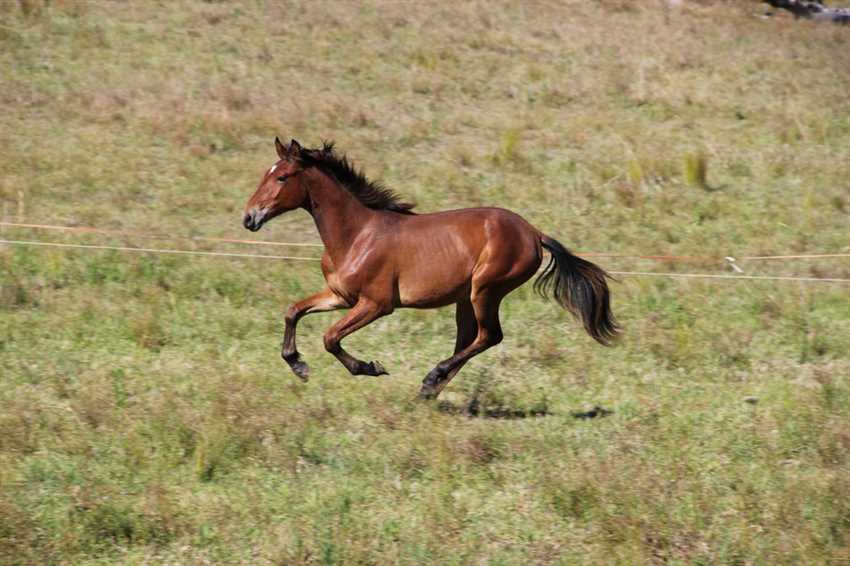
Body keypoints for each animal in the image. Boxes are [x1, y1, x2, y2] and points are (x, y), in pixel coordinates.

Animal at [240, 139, 616, 400]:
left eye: (283, 177)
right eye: (264, 175)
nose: (249, 218)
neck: (356, 235)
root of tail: (534, 233)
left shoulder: (376, 304)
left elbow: (330, 337)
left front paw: (370, 368)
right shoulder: (340, 296)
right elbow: (293, 311)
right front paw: (298, 365)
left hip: (486, 290)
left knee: (489, 336)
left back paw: (432, 378)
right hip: (466, 299)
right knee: (470, 339)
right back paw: (430, 389)